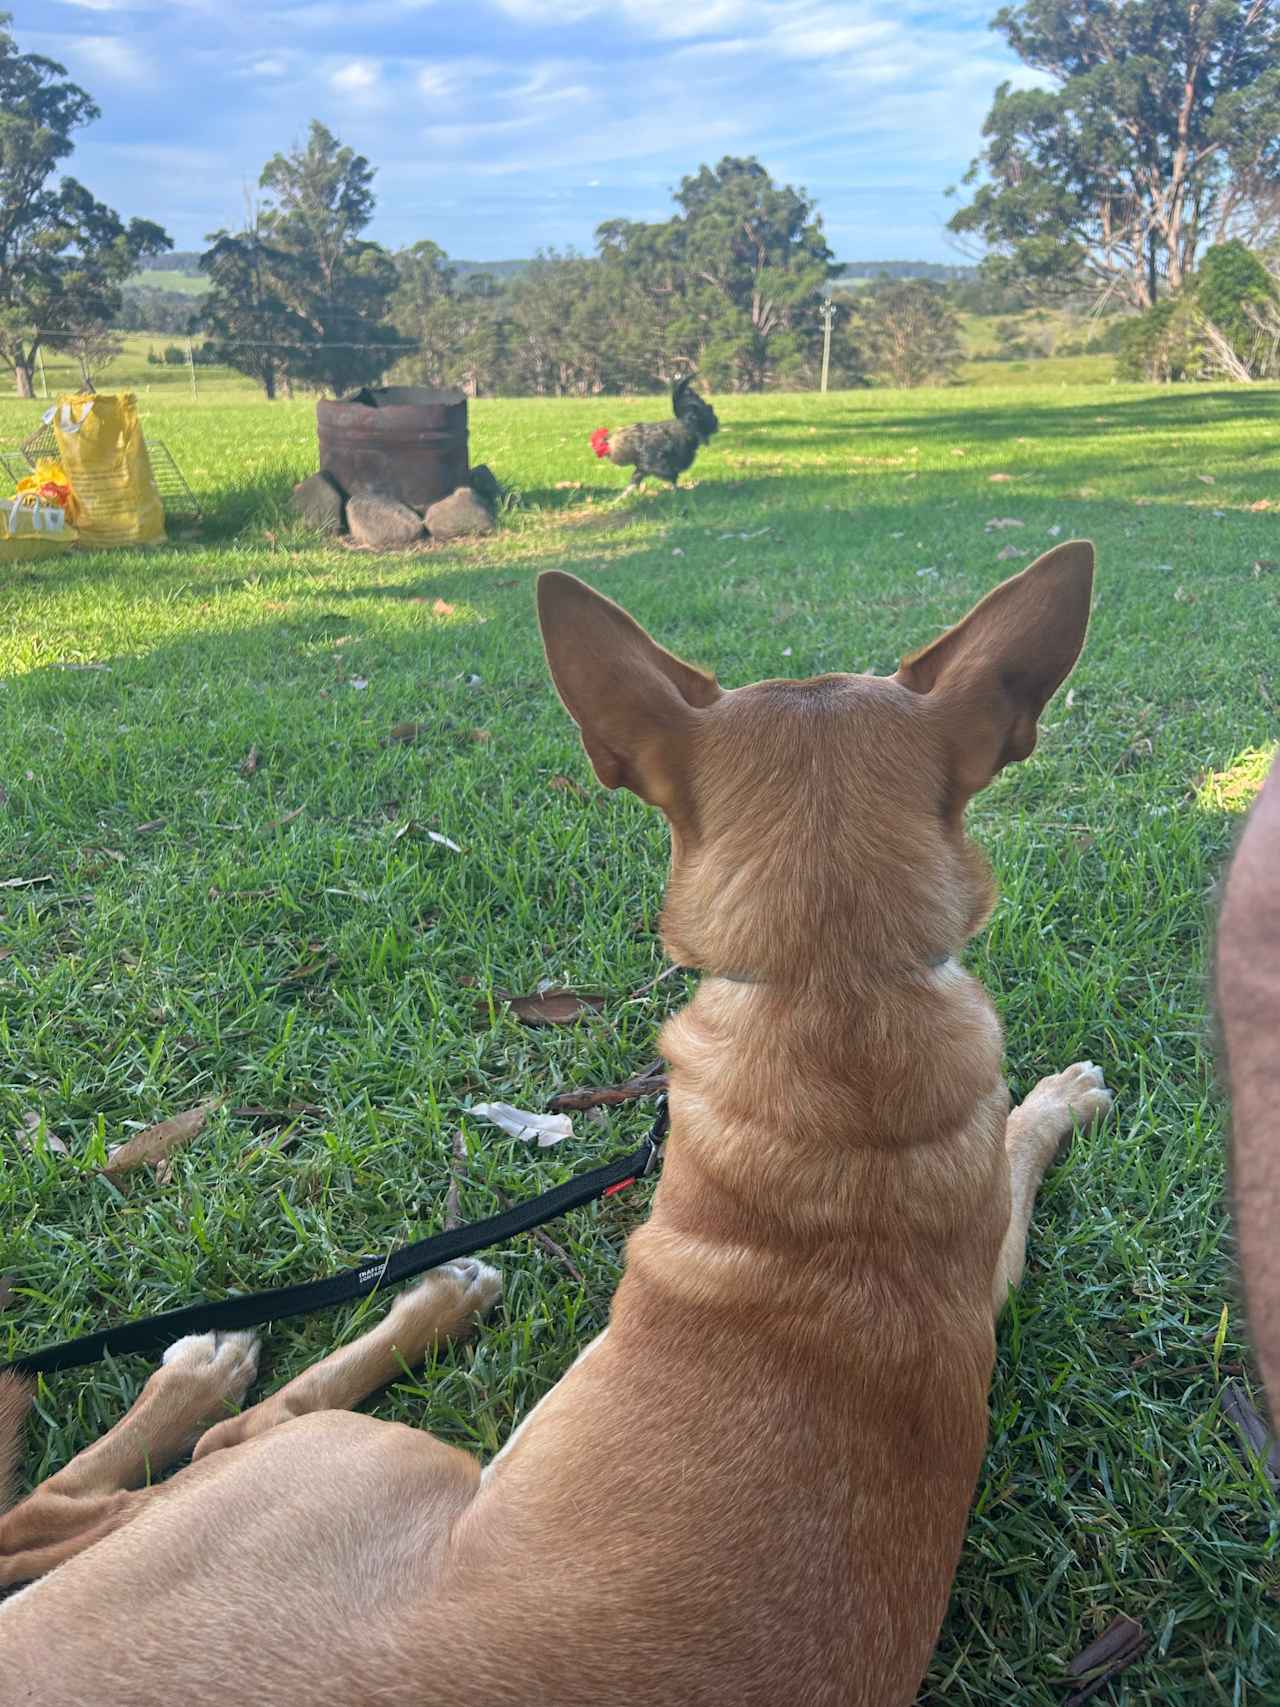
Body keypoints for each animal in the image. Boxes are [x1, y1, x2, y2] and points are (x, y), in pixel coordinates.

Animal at [0, 542, 1112, 1693]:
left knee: (110, 1489)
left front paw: (1058, 1095)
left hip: (356, 1454)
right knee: (89, 1497)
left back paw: (306, 1340)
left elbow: (1017, 1144)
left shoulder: (992, 1266)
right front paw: (1060, 1094)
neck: (835, 991)